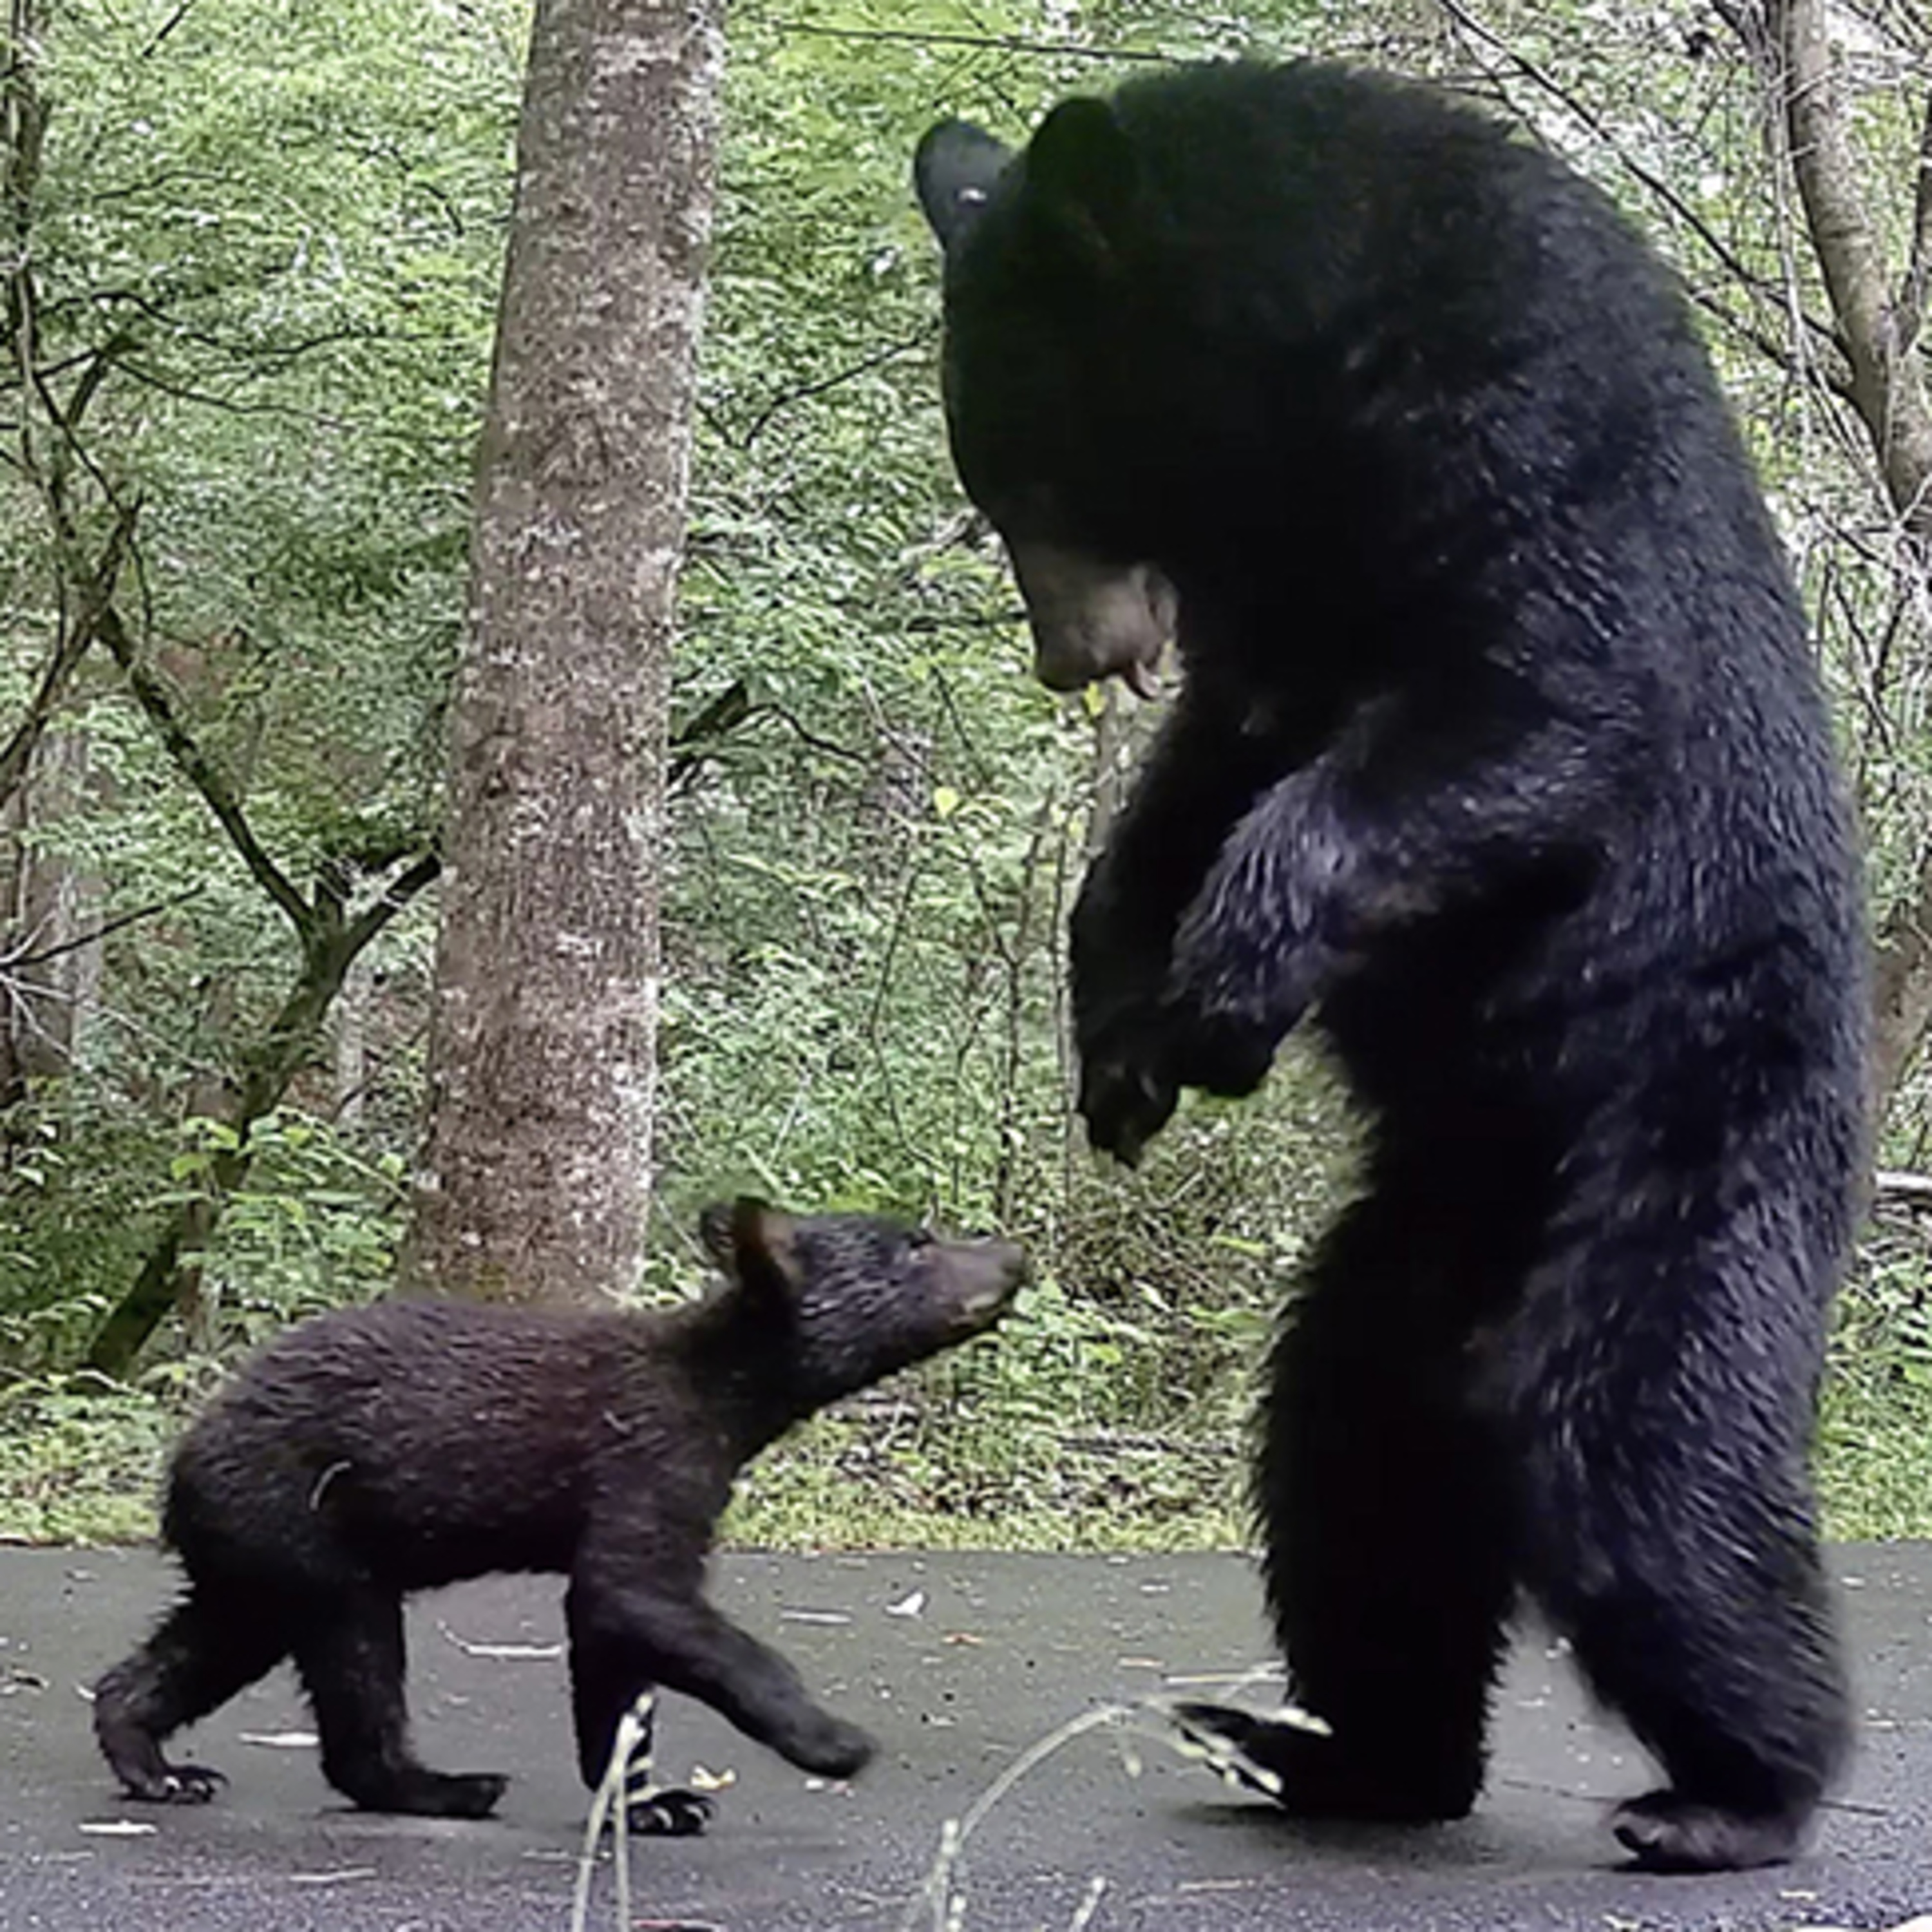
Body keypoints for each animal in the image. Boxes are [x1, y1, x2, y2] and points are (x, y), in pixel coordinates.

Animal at [93, 1198, 1026, 1831]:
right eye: (917, 1243)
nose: (1013, 1254)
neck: (728, 1401)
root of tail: (179, 1466)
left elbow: (616, 1649)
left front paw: (653, 1802)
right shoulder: (649, 1460)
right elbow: (633, 1597)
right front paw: (832, 1740)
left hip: (258, 1547)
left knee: (216, 1638)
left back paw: (155, 1764)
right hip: (305, 1519)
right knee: (354, 1652)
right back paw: (447, 1785)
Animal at [914, 60, 1868, 1874]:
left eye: (1041, 481)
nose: (1070, 658)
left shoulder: (1520, 423)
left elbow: (1534, 698)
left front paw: (1230, 973)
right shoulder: (1271, 603)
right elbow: (1205, 768)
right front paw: (1120, 1030)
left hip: (1696, 1136)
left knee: (1645, 1453)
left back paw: (1737, 1785)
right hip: (1398, 1268)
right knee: (1348, 1467)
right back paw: (1337, 1745)